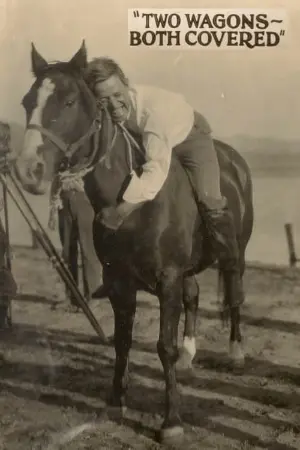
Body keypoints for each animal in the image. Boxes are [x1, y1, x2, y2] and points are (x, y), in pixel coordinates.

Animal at [14, 42, 253, 446]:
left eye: (69, 101)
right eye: (28, 101)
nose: (28, 170)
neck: (131, 202)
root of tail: (235, 160)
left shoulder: (167, 278)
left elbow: (163, 347)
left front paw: (171, 422)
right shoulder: (119, 283)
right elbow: (122, 341)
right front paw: (115, 402)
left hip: (235, 252)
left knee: (234, 293)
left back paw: (235, 352)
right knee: (194, 296)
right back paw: (190, 354)